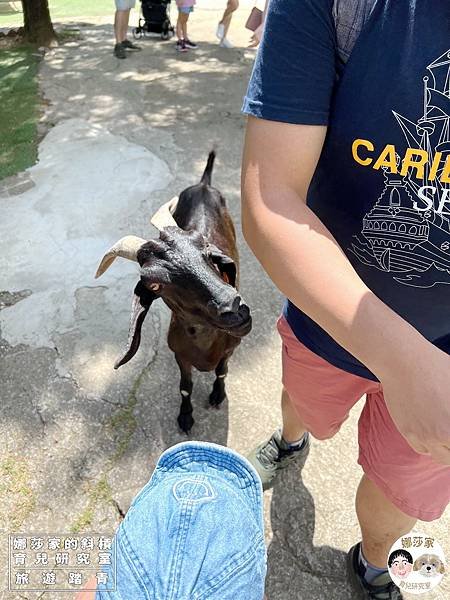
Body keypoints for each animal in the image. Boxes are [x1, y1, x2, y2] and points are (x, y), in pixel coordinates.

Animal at [95, 151, 251, 432]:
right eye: (155, 284)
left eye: (208, 251)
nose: (235, 309)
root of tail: (202, 184)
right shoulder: (180, 355)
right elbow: (185, 387)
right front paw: (185, 417)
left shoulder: (231, 348)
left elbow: (222, 371)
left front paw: (217, 395)